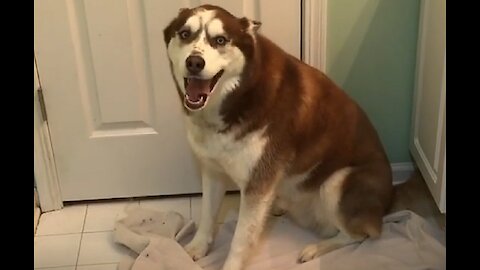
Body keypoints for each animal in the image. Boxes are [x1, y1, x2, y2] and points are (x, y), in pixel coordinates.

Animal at [164, 4, 394, 270]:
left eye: (220, 40)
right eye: (184, 34)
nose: (194, 62)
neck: (240, 95)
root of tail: (389, 200)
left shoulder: (258, 183)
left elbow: (240, 239)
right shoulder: (213, 170)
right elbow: (207, 215)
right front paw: (197, 248)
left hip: (337, 182)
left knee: (359, 234)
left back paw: (315, 248)